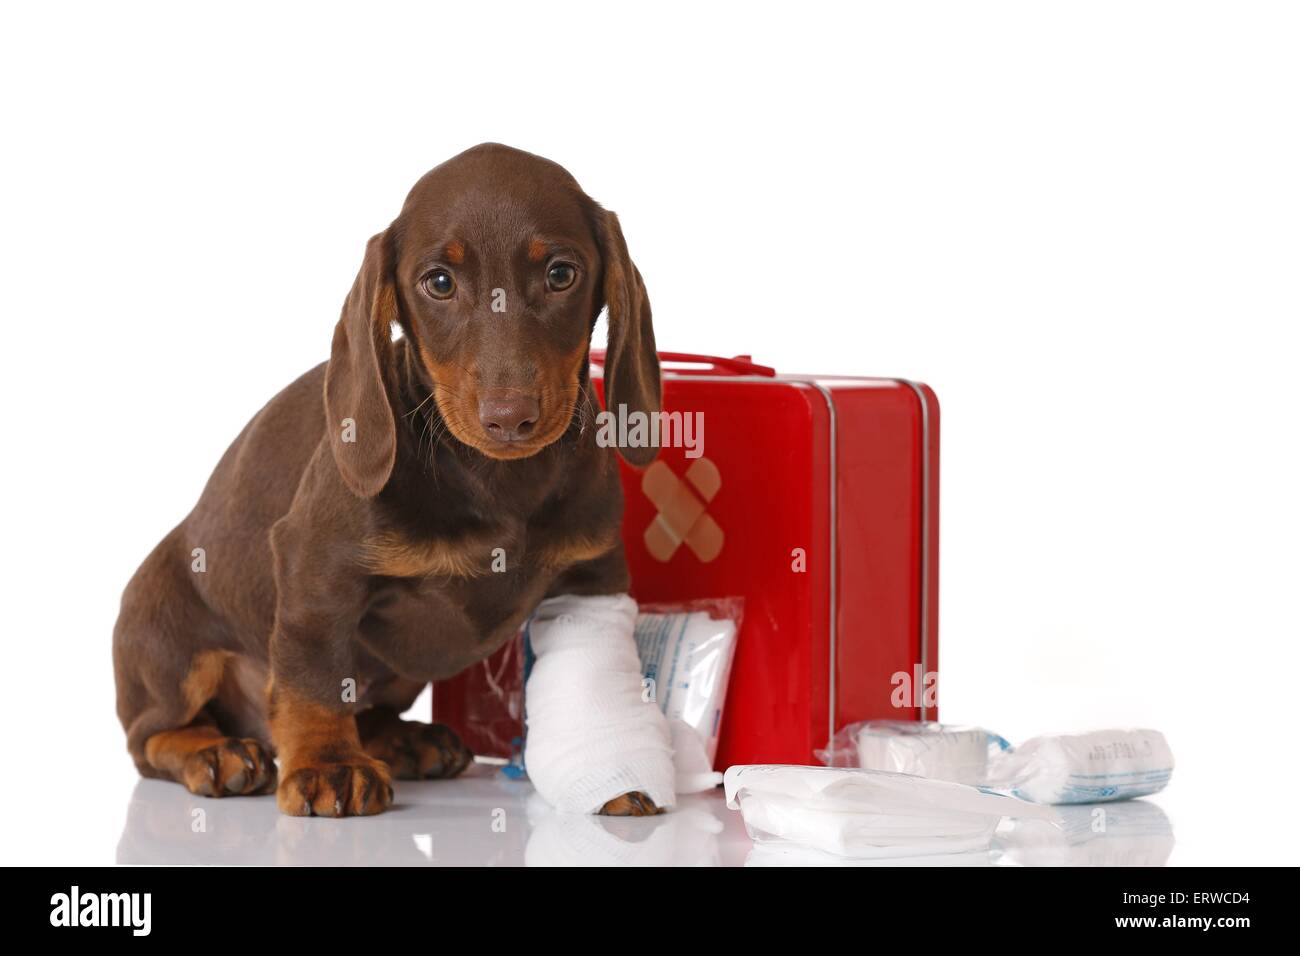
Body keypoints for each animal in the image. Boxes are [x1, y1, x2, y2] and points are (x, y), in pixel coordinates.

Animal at [111, 145, 660, 816]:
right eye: (439, 283)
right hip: (168, 644)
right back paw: (215, 753)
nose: (509, 417)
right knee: (149, 738)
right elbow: (316, 676)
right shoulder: (315, 566)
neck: (497, 482)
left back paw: (405, 741)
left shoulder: (591, 579)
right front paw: (329, 764)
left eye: (562, 273)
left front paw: (616, 781)